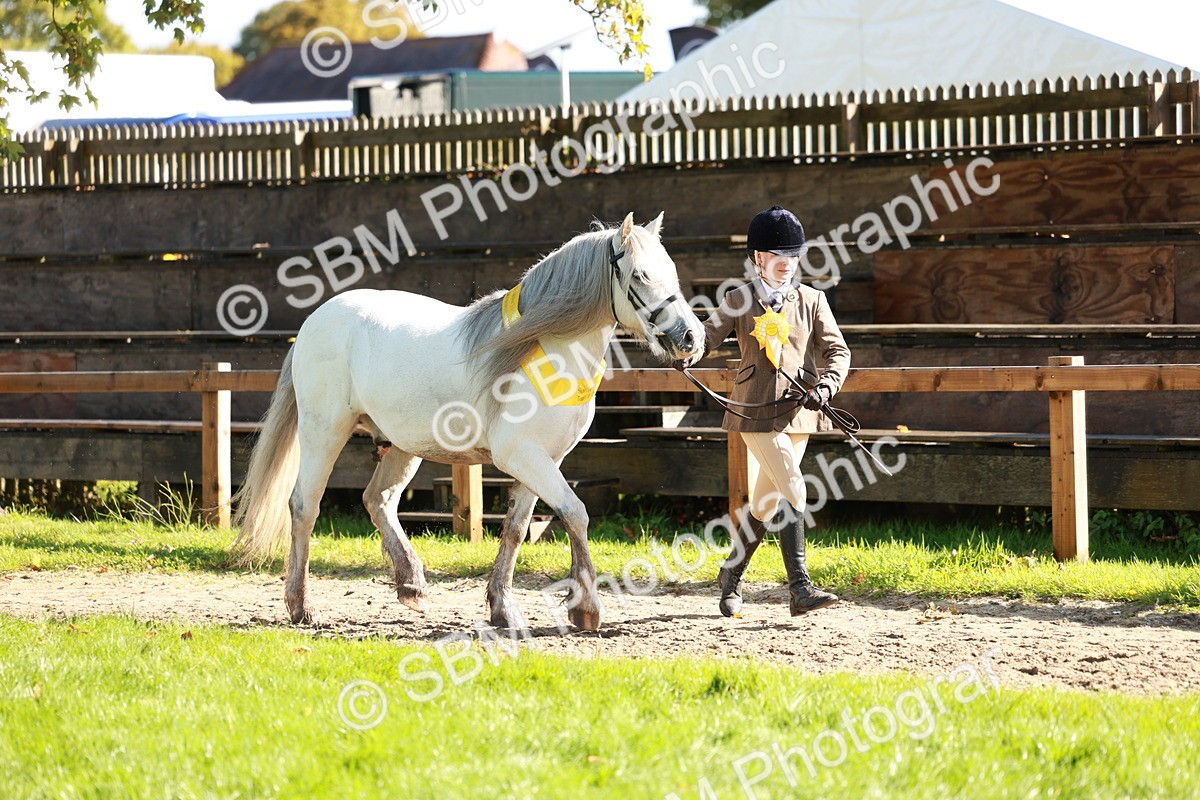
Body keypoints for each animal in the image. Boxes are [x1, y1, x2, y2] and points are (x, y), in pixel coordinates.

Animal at [230, 212, 705, 631]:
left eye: (671, 271)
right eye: (640, 275)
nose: (691, 338)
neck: (545, 351)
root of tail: (315, 321)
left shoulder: (542, 461)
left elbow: (515, 529)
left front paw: (502, 609)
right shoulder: (524, 457)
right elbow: (575, 513)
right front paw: (586, 609)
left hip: (402, 444)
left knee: (377, 499)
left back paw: (411, 584)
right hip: (323, 432)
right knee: (304, 506)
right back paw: (301, 607)